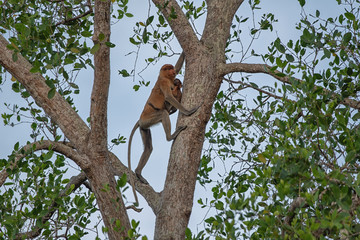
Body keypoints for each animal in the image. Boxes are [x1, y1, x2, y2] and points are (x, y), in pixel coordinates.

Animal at [127, 52, 200, 206]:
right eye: (168, 68)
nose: (172, 71)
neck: (165, 77)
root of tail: (140, 119)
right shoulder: (164, 83)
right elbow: (168, 96)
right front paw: (188, 111)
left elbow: (179, 66)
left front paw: (183, 54)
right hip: (150, 118)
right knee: (163, 114)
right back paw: (170, 136)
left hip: (145, 127)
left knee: (148, 148)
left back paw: (138, 173)